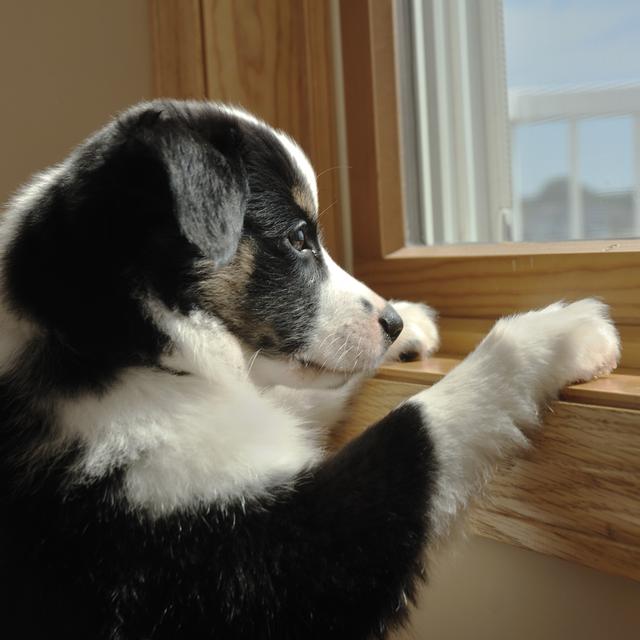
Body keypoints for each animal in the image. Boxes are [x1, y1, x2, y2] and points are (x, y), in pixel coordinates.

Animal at [0, 101, 620, 640]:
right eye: (298, 238)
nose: (392, 322)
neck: (131, 349)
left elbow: (304, 395)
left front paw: (414, 327)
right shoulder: (253, 560)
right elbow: (418, 428)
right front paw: (560, 333)